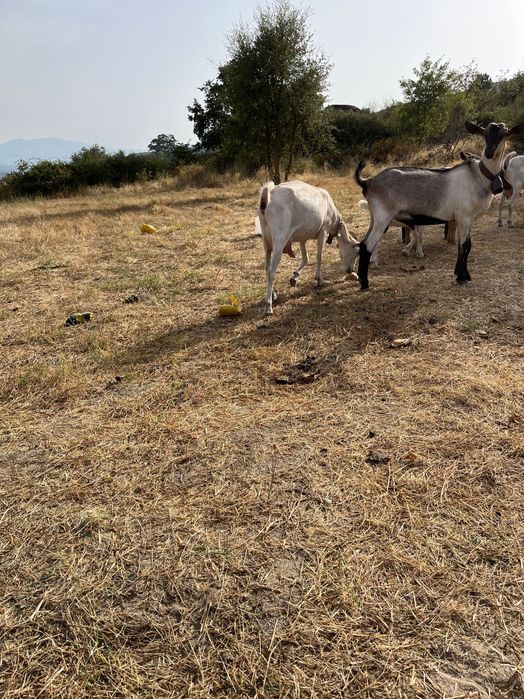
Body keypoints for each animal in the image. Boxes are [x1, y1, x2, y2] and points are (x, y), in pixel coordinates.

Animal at [258, 181, 360, 315]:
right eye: (356, 252)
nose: (350, 271)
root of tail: (268, 196)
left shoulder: (303, 237)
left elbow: (306, 258)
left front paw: (294, 277)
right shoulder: (323, 231)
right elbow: (319, 256)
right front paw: (319, 280)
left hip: (266, 241)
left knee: (266, 267)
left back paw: (274, 294)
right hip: (279, 239)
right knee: (271, 271)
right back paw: (268, 306)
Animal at [354, 120, 524, 289]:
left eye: (504, 134)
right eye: (484, 133)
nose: (489, 152)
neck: (479, 176)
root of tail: (368, 182)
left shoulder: (468, 220)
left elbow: (466, 246)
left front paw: (464, 275)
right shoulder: (464, 217)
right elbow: (464, 246)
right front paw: (461, 277)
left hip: (375, 218)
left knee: (362, 243)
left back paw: (362, 279)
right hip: (383, 217)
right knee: (368, 245)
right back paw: (365, 283)